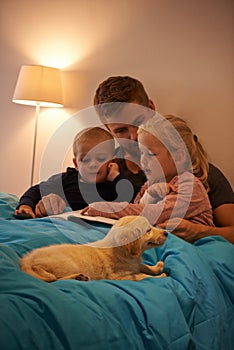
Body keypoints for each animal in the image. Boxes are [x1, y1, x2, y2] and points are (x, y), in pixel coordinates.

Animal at [19, 215, 166, 284]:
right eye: (148, 230)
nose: (166, 233)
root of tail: (26, 260)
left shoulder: (134, 264)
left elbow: (144, 267)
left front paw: (157, 267)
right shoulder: (120, 275)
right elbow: (143, 277)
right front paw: (162, 276)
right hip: (65, 265)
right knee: (52, 278)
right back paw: (77, 277)